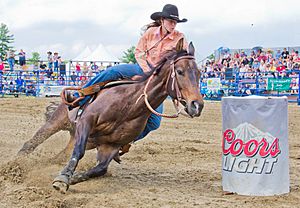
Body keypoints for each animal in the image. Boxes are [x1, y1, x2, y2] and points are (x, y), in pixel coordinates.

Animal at [18, 39, 204, 193]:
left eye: (199, 73)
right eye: (179, 71)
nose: (197, 105)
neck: (129, 105)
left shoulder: (111, 145)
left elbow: (100, 169)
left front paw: (72, 178)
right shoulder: (86, 121)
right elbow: (79, 152)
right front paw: (63, 179)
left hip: (80, 138)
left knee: (60, 156)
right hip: (57, 122)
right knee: (31, 144)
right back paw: (16, 163)